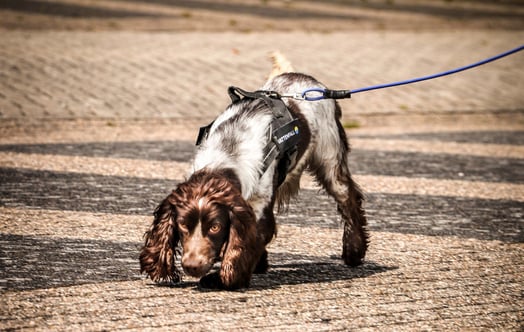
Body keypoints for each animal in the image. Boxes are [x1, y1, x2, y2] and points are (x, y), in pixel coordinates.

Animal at [139, 52, 368, 290]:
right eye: (183, 224)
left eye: (215, 227)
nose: (192, 266)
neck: (226, 154)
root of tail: (305, 79)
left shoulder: (258, 207)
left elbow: (248, 242)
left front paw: (223, 277)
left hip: (329, 158)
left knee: (348, 199)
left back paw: (353, 251)